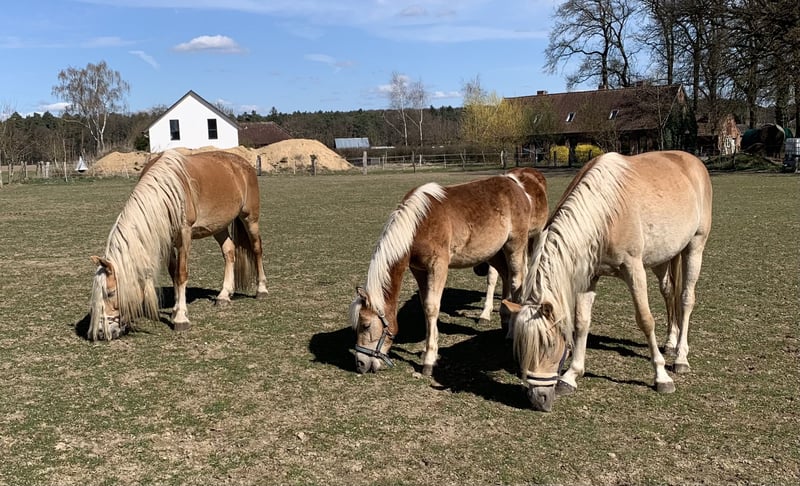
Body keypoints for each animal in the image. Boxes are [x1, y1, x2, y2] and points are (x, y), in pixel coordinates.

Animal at [88, 150, 268, 341]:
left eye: (110, 293)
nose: (101, 333)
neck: (164, 194)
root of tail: (244, 164)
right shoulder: (167, 243)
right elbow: (173, 274)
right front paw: (175, 311)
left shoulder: (184, 235)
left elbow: (181, 274)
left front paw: (181, 318)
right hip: (218, 226)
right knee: (229, 252)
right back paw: (224, 295)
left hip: (250, 219)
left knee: (257, 249)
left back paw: (261, 289)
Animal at [349, 168, 548, 375]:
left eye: (366, 325)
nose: (360, 364)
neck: (419, 224)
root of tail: (517, 185)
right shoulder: (419, 270)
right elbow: (426, 306)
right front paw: (428, 350)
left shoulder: (438, 266)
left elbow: (432, 307)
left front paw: (429, 360)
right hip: (495, 252)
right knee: (505, 277)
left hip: (515, 245)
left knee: (517, 280)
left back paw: (511, 331)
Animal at [508, 151, 712, 412]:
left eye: (550, 345)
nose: (538, 399)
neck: (606, 212)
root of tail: (692, 161)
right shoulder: (589, 275)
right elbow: (581, 322)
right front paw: (571, 376)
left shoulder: (634, 268)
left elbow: (645, 320)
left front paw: (661, 377)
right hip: (664, 257)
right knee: (668, 292)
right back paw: (670, 341)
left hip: (695, 246)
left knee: (686, 299)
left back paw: (681, 357)